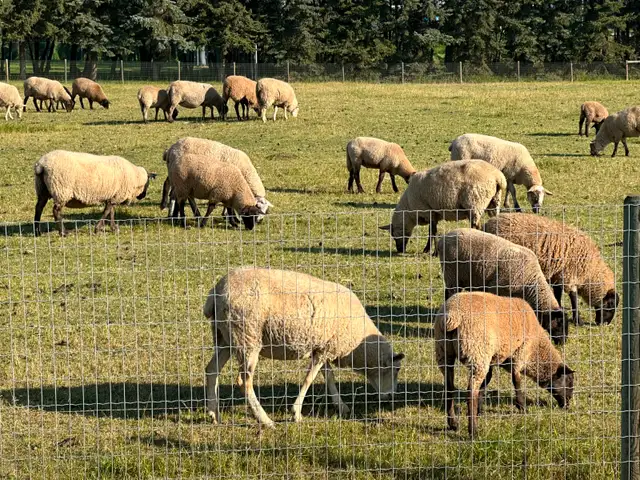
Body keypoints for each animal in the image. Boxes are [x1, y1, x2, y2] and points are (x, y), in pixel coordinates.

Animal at [203, 267, 405, 427]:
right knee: (244, 381)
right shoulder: (324, 350)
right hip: (247, 337)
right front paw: (296, 413)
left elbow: (329, 377)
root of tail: (216, 292)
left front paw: (341, 406)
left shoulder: (323, 347)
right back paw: (265, 420)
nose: (391, 396)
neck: (358, 343)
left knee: (211, 370)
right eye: (396, 370)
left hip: (226, 337)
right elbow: (309, 379)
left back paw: (214, 414)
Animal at [435, 292, 575, 437]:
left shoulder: (491, 359)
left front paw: (480, 410)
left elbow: (486, 382)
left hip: (444, 352)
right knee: (470, 392)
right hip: (477, 353)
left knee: (449, 387)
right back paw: (473, 431)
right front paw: (522, 407)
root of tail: (452, 316)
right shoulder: (519, 355)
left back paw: (453, 423)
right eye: (570, 381)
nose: (567, 405)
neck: (536, 349)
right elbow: (516, 381)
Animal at [437, 227, 568, 343]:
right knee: (450, 293)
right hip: (451, 274)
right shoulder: (497, 289)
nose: (564, 342)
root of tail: (443, 238)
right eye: (560, 323)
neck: (530, 281)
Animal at [483, 213, 619, 326]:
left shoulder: (559, 274)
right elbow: (573, 297)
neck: (590, 271)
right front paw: (578, 321)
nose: (605, 324)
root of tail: (487, 224)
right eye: (610, 304)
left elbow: (558, 293)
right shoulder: (569, 274)